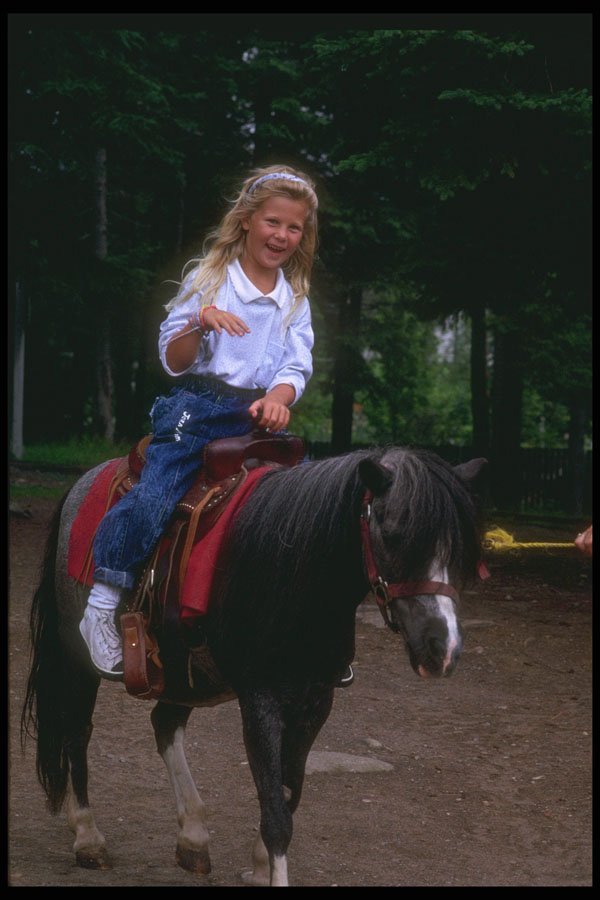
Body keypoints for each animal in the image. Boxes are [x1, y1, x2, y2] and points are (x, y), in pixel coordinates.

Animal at [21, 445, 486, 886]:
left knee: (164, 725)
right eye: (392, 533)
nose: (442, 648)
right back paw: (88, 837)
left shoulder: (317, 701)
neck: (296, 570)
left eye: (458, 546)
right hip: (78, 663)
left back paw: (192, 836)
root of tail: (84, 482)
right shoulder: (261, 701)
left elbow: (286, 795)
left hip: (185, 675)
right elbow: (277, 815)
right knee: (77, 733)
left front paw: (261, 864)